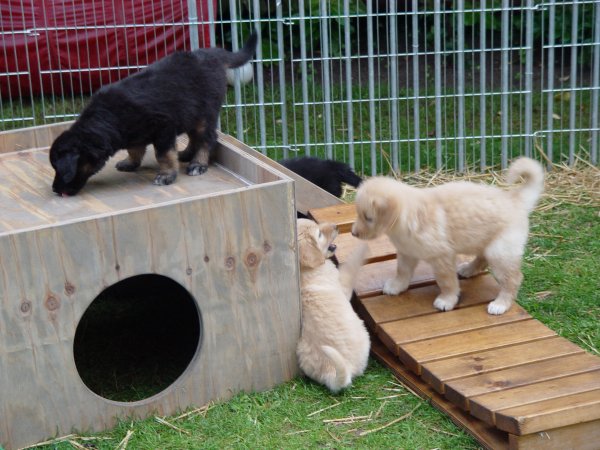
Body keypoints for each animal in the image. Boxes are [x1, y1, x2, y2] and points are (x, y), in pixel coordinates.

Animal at [48, 30, 258, 194]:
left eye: (60, 169)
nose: (55, 190)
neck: (108, 118)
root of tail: (214, 55)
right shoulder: (135, 133)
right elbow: (134, 149)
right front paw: (130, 162)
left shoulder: (164, 128)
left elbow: (163, 155)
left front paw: (166, 175)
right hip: (190, 113)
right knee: (194, 137)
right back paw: (185, 154)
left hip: (204, 114)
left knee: (207, 138)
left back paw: (198, 163)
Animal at [296, 219, 370, 394]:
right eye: (319, 234)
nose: (336, 226)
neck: (305, 270)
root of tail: (330, 371)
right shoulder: (343, 285)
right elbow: (351, 267)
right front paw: (363, 248)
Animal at [352, 158, 544, 316]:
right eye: (359, 214)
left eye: (368, 217)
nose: (354, 233)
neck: (408, 218)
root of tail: (515, 199)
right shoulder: (407, 252)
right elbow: (402, 271)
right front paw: (396, 286)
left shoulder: (442, 257)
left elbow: (447, 282)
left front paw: (447, 300)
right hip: (485, 242)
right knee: (482, 259)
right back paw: (468, 269)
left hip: (500, 251)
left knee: (513, 279)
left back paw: (500, 304)